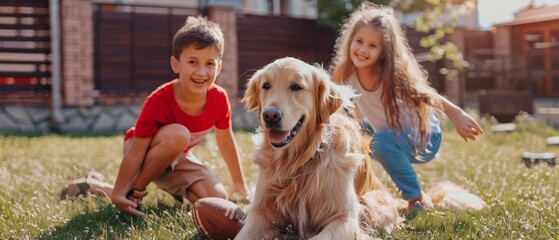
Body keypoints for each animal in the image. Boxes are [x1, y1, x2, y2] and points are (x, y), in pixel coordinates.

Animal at [236, 57, 402, 239]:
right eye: (266, 85)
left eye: (296, 87)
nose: (270, 115)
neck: (297, 162)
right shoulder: (260, 211)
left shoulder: (345, 218)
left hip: (374, 203)